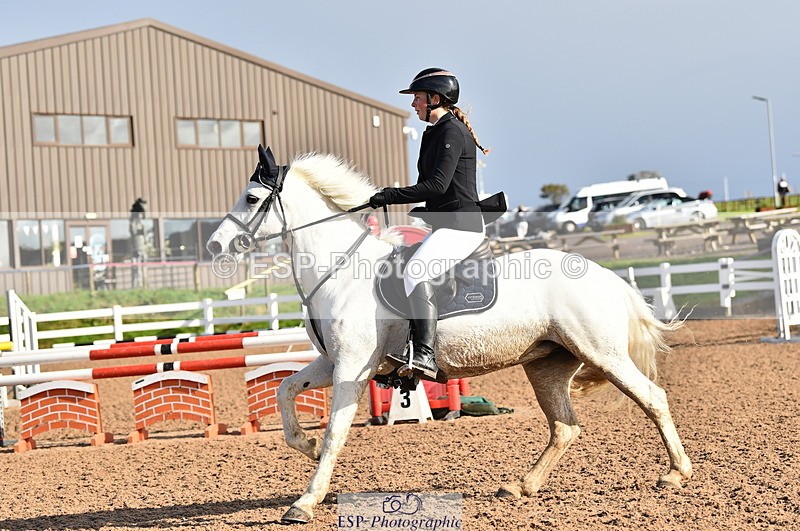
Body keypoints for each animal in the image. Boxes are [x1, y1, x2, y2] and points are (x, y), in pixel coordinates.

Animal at [206, 145, 692, 524]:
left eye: (252, 197)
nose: (215, 245)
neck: (340, 269)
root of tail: (607, 275)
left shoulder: (351, 368)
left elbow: (335, 432)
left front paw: (306, 500)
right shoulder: (332, 362)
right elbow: (286, 390)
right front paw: (304, 446)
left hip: (603, 354)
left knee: (652, 398)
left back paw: (675, 472)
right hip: (547, 364)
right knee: (565, 427)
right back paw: (521, 486)